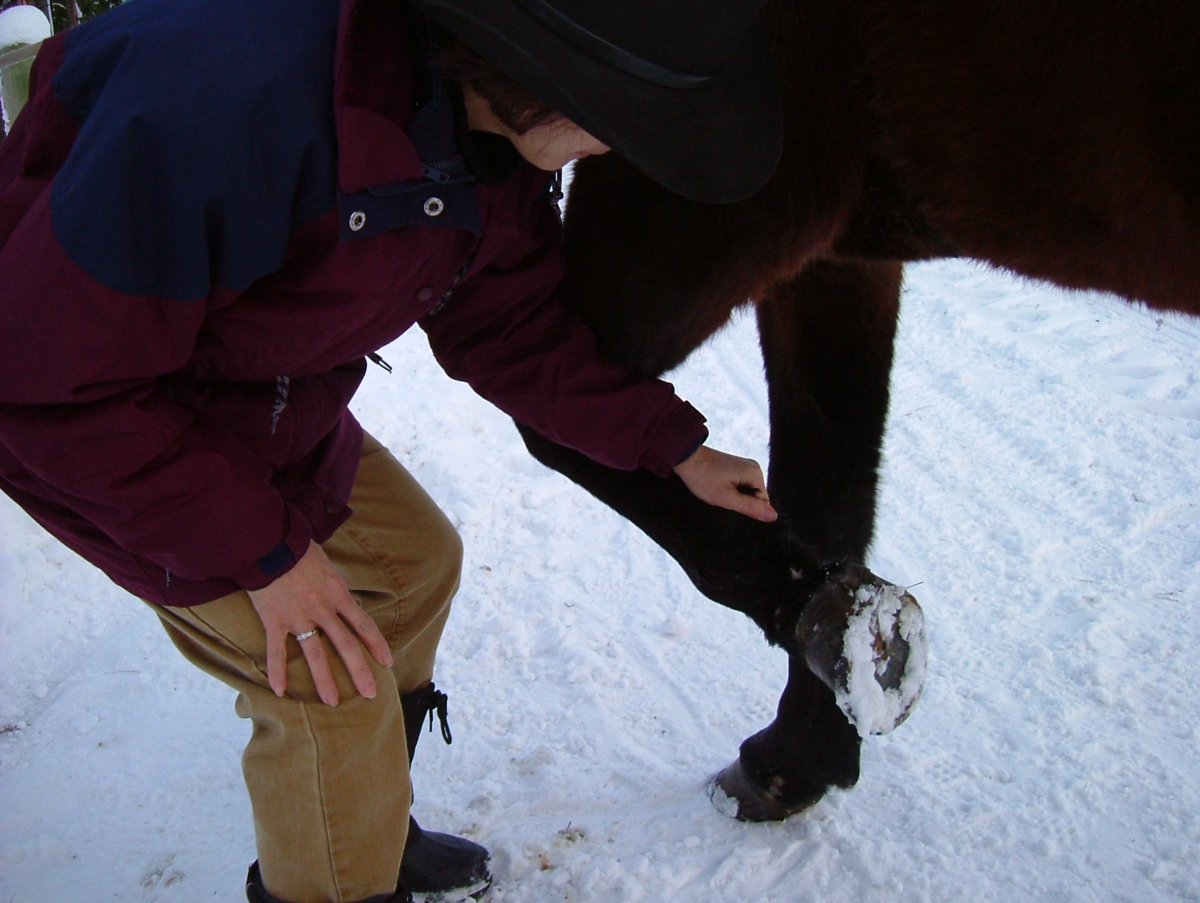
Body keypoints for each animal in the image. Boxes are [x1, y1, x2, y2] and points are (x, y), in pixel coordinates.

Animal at [515, 0, 1200, 820]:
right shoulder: (839, 258)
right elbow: (828, 492)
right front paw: (812, 734)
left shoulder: (691, 206)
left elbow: (566, 423)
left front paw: (822, 629)